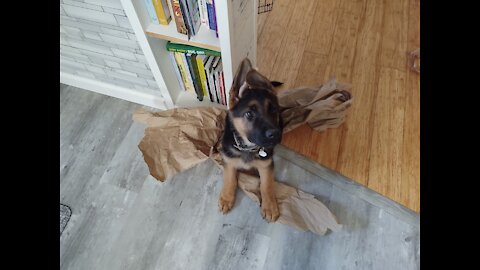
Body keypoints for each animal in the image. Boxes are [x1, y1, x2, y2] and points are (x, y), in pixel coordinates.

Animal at [220, 58, 284, 223]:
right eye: (249, 114)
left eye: (273, 110)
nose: (275, 134)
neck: (247, 147)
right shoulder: (229, 160)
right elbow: (229, 179)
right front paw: (227, 198)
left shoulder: (266, 164)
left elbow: (267, 185)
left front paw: (270, 206)